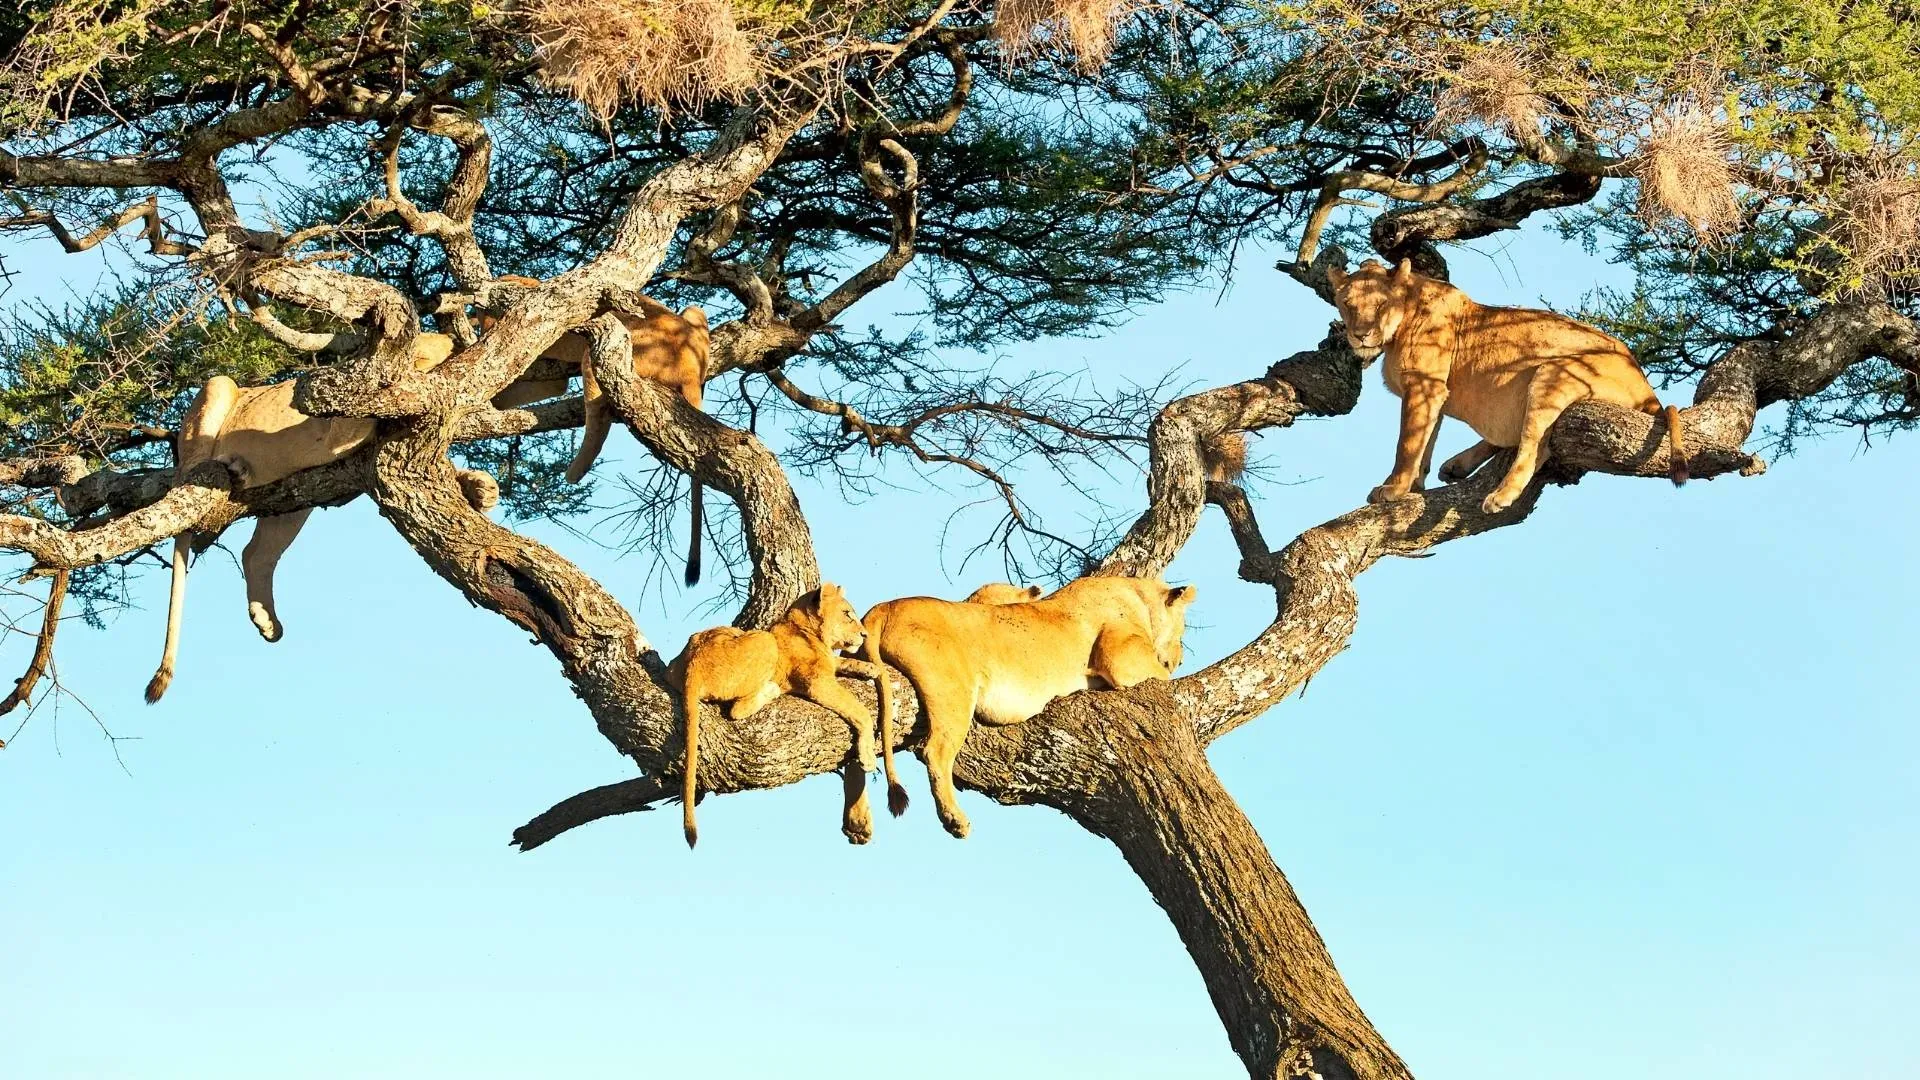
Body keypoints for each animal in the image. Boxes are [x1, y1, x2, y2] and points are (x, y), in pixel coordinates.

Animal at [664, 583, 873, 848]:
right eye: (847, 614)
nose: (865, 635)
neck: (806, 629)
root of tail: (692, 666)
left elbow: (841, 662)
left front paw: (868, 668)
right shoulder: (816, 682)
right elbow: (860, 711)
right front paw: (868, 757)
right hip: (764, 640)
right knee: (737, 709)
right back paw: (771, 689)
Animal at [857, 577, 1196, 839]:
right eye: (1183, 630)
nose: (1180, 660)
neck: (1138, 596)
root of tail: (884, 606)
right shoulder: (1120, 654)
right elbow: (1159, 673)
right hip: (954, 688)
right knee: (936, 750)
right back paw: (955, 819)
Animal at [1325, 258, 1688, 514]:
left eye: (1380, 305)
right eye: (1348, 305)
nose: (1360, 335)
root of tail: (1646, 386)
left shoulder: (1424, 386)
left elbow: (1407, 444)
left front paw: (1393, 490)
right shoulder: (1434, 391)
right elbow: (1425, 442)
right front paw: (1415, 484)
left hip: (1554, 372)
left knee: (1533, 447)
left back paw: (1500, 495)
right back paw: (1458, 466)